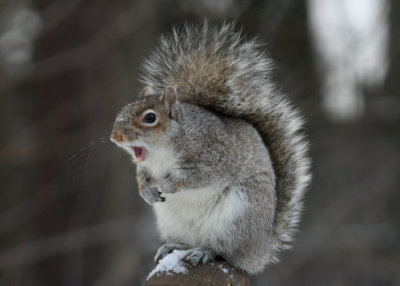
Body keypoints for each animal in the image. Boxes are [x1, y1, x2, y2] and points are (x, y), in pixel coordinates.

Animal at [111, 22, 310, 274]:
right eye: (122, 109)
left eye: (150, 117)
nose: (115, 137)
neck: (161, 151)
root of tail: (259, 252)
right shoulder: (147, 165)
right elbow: (141, 174)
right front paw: (145, 190)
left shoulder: (211, 155)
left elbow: (199, 177)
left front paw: (169, 184)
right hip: (172, 222)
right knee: (188, 242)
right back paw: (173, 246)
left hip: (237, 218)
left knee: (225, 252)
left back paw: (204, 253)